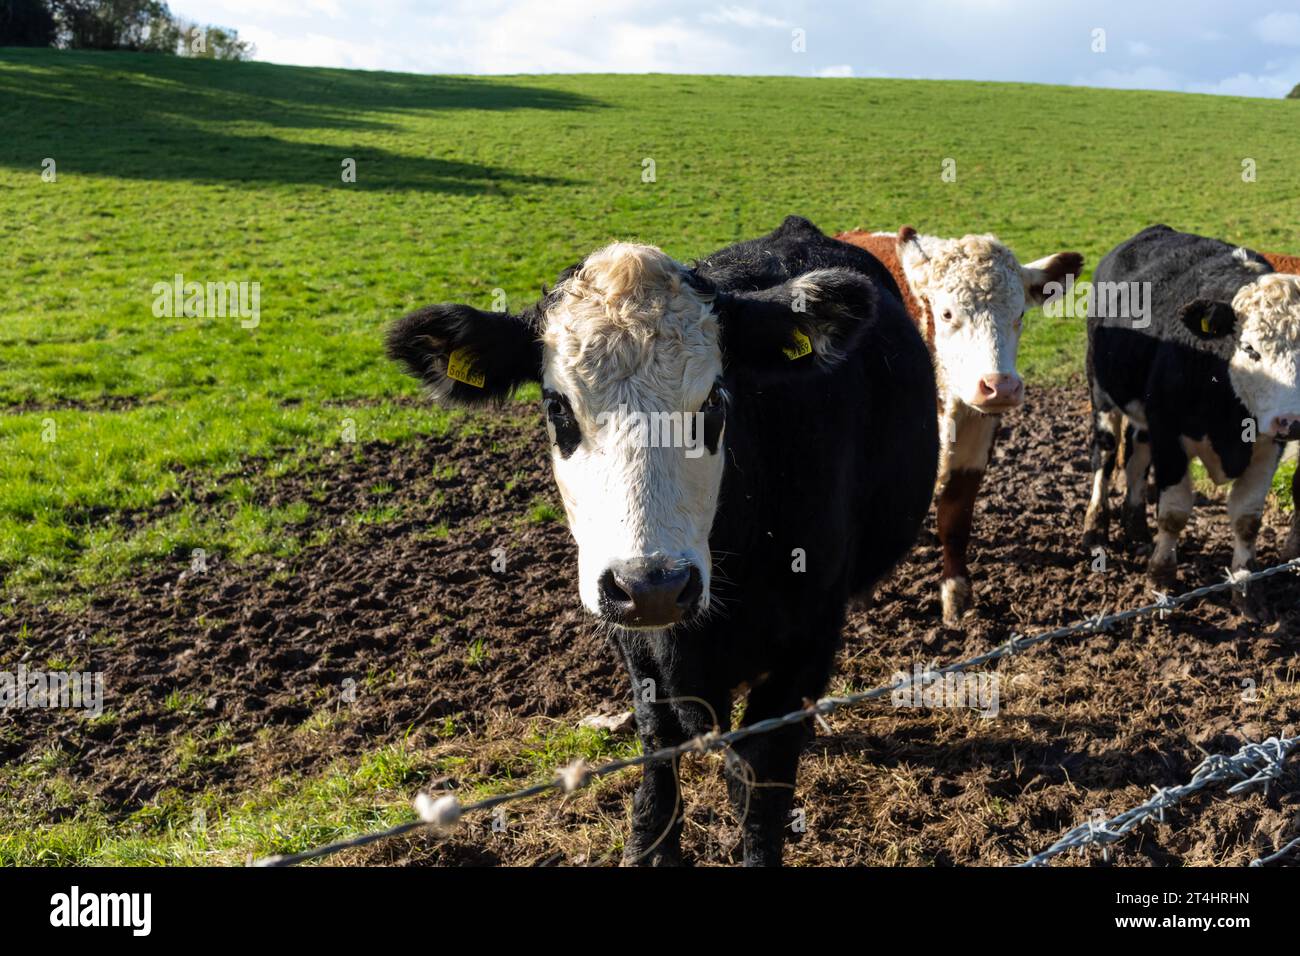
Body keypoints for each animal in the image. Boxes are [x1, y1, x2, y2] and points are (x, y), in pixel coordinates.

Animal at [385, 215, 938, 866]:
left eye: (715, 400)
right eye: (557, 407)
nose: (653, 585)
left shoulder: (810, 639)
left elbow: (762, 782)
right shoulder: (633, 637)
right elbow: (659, 744)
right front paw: (649, 843)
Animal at [836, 228, 1083, 626]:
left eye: (1019, 314)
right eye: (948, 313)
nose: (1000, 386)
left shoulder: (976, 440)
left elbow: (955, 518)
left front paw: (956, 596)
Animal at [1084, 225, 1300, 602]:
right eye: (1250, 349)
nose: (1292, 421)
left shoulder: (1268, 446)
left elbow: (1247, 520)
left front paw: (1246, 588)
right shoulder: (1170, 435)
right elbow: (1173, 513)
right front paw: (1161, 577)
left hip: (1143, 416)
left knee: (1136, 455)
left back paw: (1136, 527)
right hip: (1102, 394)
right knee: (1106, 457)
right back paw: (1096, 527)